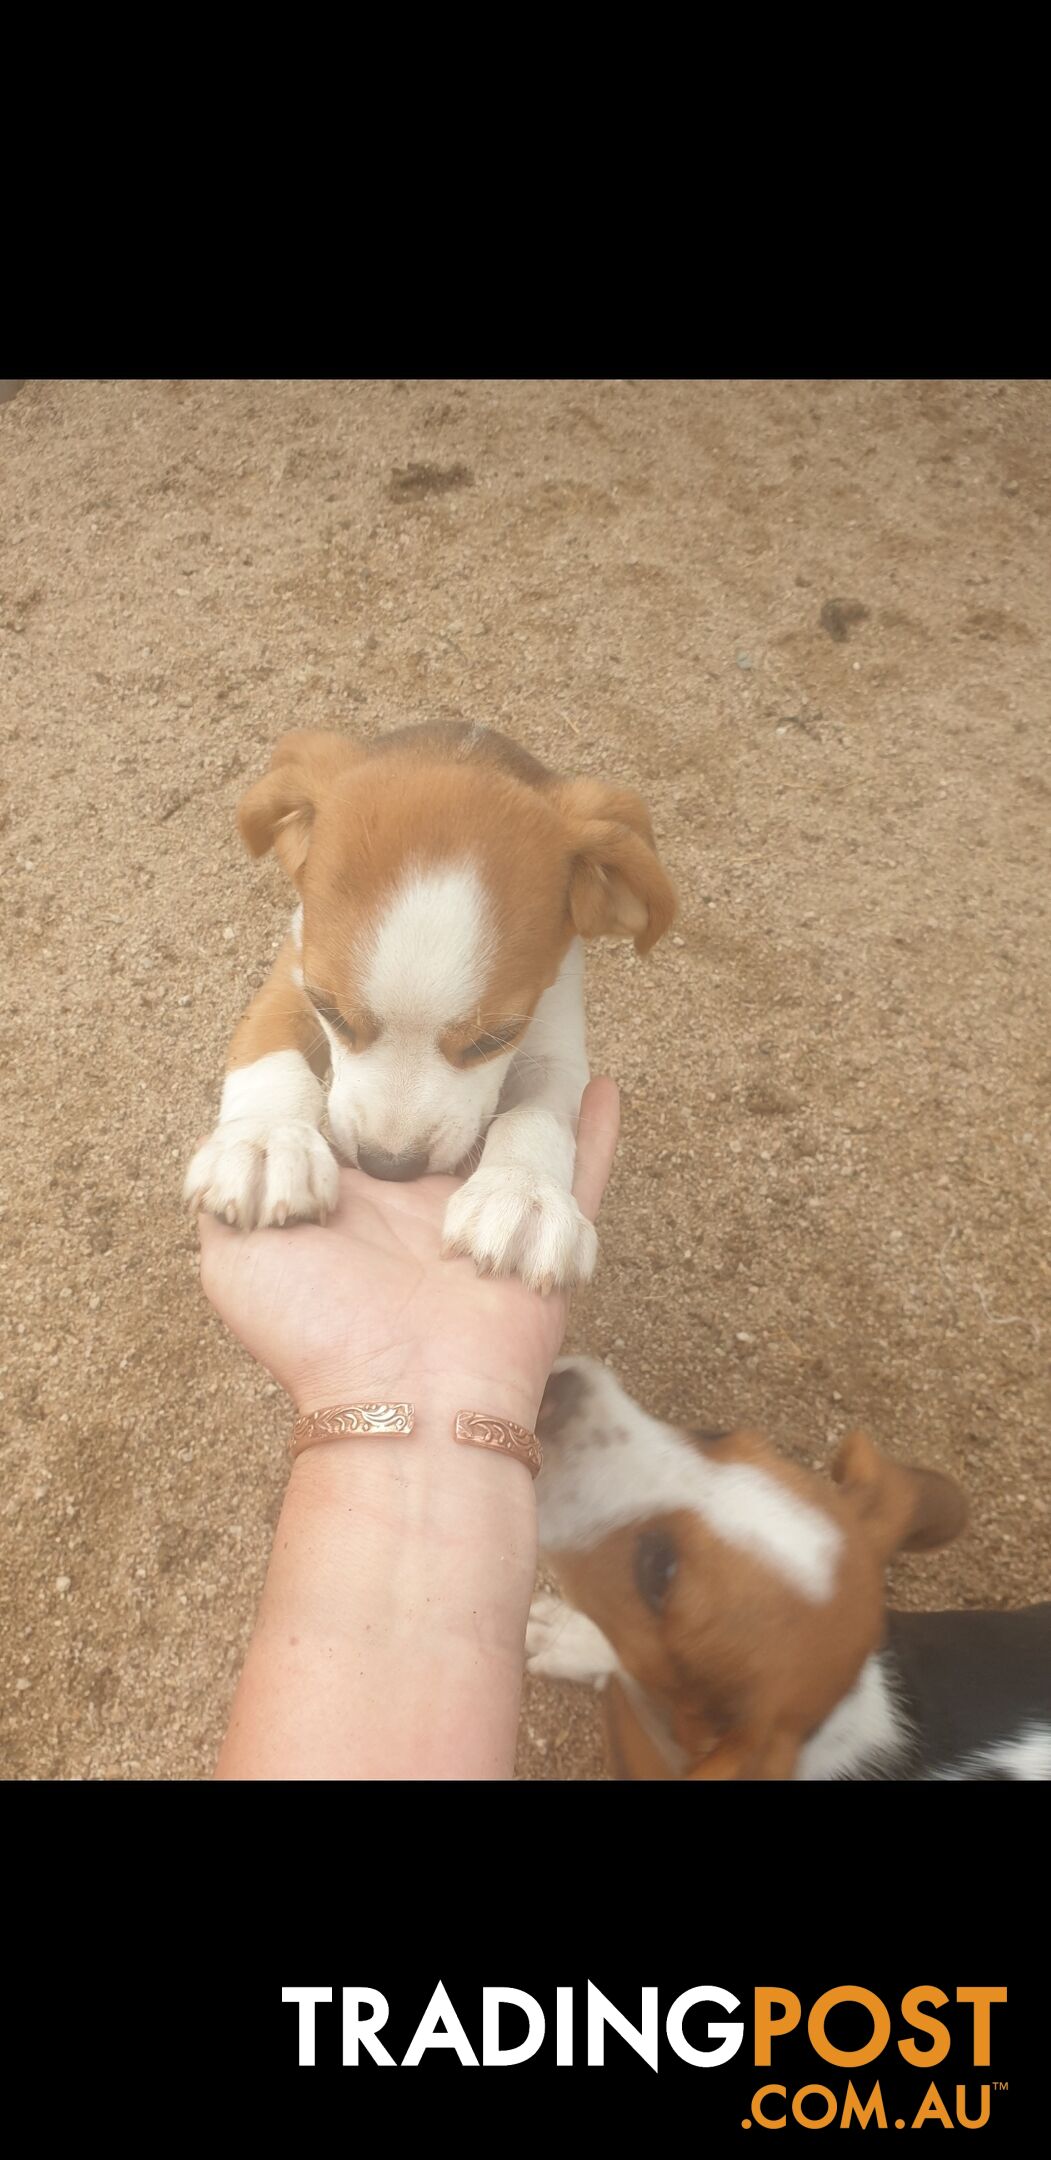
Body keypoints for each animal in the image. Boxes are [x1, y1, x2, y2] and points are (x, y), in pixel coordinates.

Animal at [183, 725, 673, 1296]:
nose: (388, 1167)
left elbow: (536, 1117)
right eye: (332, 1014)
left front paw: (524, 1193)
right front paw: (264, 1139)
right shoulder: (292, 980)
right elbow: (272, 1056)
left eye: (492, 1040)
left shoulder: (555, 1041)